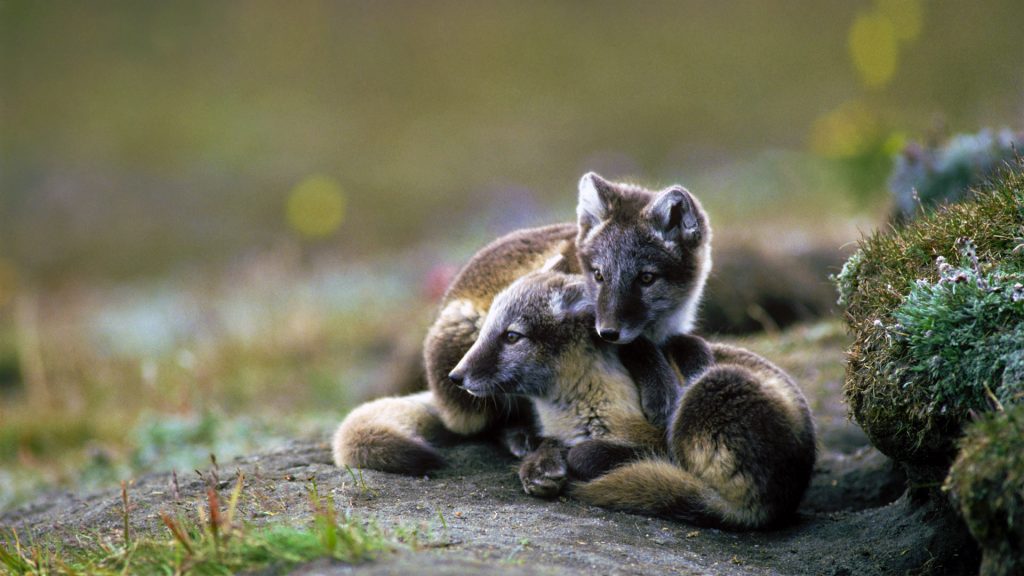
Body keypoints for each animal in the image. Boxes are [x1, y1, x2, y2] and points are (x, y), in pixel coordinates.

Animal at [452, 270, 811, 528]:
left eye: (512, 336)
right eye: (483, 332)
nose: (456, 376)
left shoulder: (657, 437)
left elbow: (590, 452)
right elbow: (547, 443)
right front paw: (539, 465)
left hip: (711, 389)